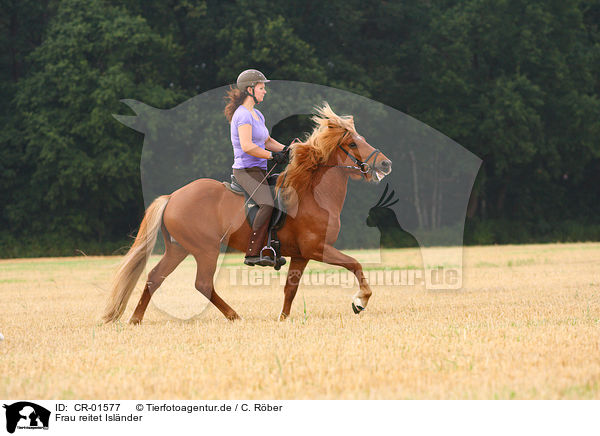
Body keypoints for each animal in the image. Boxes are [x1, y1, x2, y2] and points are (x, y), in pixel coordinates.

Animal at [102, 102, 394, 322]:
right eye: (353, 144)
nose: (385, 164)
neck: (313, 193)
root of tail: (172, 197)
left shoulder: (301, 255)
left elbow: (290, 289)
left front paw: (282, 319)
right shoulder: (317, 249)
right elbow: (354, 264)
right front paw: (360, 301)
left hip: (179, 248)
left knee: (155, 277)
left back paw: (135, 319)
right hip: (206, 249)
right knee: (202, 284)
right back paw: (234, 316)